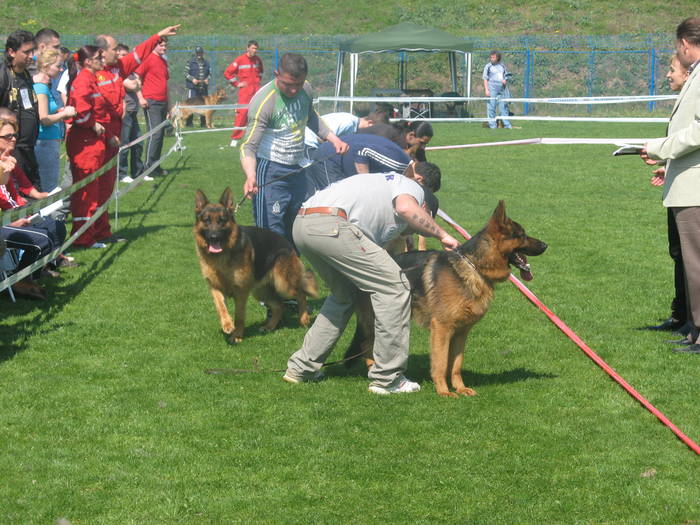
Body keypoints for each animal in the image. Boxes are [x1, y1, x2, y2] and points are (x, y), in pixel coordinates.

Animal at [194, 186, 320, 342]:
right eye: (206, 220)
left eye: (222, 221)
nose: (214, 237)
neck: (222, 256)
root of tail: (287, 243)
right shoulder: (215, 288)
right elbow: (221, 307)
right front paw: (227, 324)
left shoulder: (241, 291)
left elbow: (239, 316)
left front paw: (237, 335)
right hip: (260, 291)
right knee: (279, 306)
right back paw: (269, 326)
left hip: (283, 284)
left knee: (301, 294)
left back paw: (304, 319)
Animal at [348, 202, 548, 398]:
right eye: (521, 235)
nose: (546, 244)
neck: (474, 267)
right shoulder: (442, 329)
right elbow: (442, 363)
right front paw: (443, 391)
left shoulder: (461, 332)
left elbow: (456, 364)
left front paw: (460, 388)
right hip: (380, 319)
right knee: (368, 345)